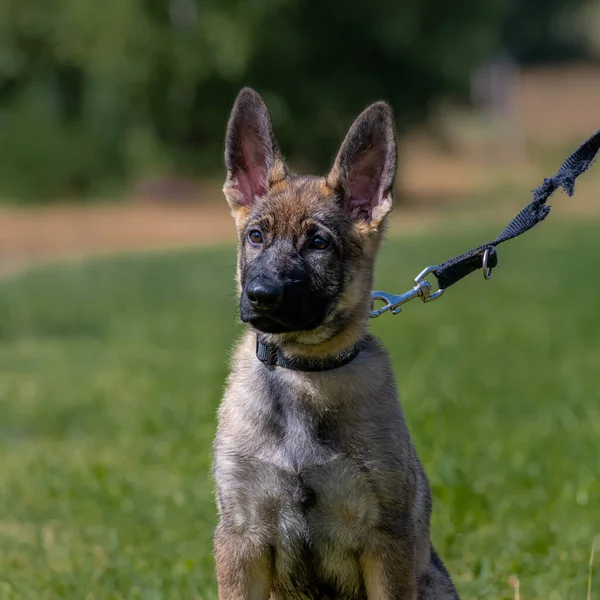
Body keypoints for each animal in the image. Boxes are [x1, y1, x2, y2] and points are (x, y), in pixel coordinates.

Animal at [213, 89, 458, 600]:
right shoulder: (240, 537)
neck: (303, 370)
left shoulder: (386, 539)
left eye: (319, 243)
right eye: (256, 236)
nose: (260, 295)